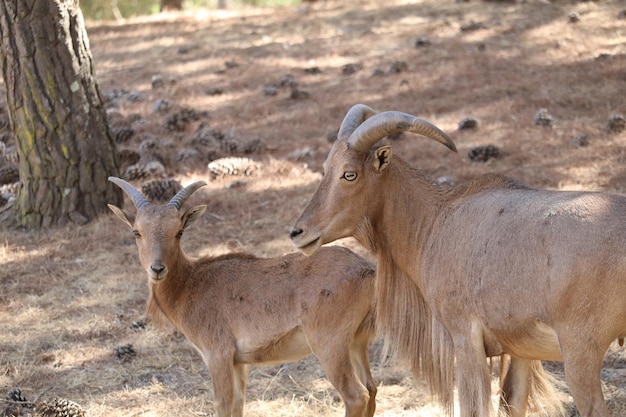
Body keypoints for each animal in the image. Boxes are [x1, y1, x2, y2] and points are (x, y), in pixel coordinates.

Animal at [107, 177, 376, 416]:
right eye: (137, 232)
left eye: (179, 232)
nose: (157, 269)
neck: (190, 284)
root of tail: (368, 270)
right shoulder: (238, 362)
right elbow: (238, 404)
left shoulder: (217, 354)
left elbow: (224, 405)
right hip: (356, 341)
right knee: (371, 389)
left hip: (329, 344)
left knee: (356, 395)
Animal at [288, 104, 624, 416]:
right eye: (325, 168)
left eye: (349, 174)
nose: (297, 232)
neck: (435, 223)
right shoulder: (520, 351)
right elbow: (512, 402)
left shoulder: (465, 338)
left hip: (580, 350)